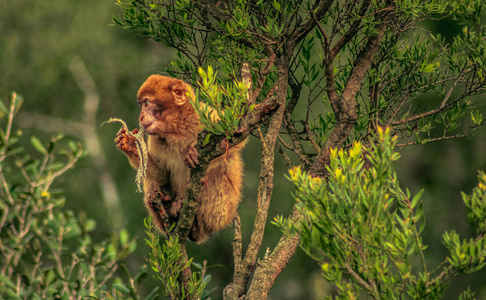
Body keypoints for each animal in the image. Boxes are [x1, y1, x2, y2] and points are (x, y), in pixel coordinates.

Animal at [116, 75, 245, 244]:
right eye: (141, 105)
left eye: (146, 103)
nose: (141, 116)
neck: (177, 128)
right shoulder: (155, 137)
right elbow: (161, 174)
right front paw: (131, 145)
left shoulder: (207, 115)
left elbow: (237, 135)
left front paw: (190, 150)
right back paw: (165, 204)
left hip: (220, 215)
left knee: (214, 176)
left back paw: (194, 223)